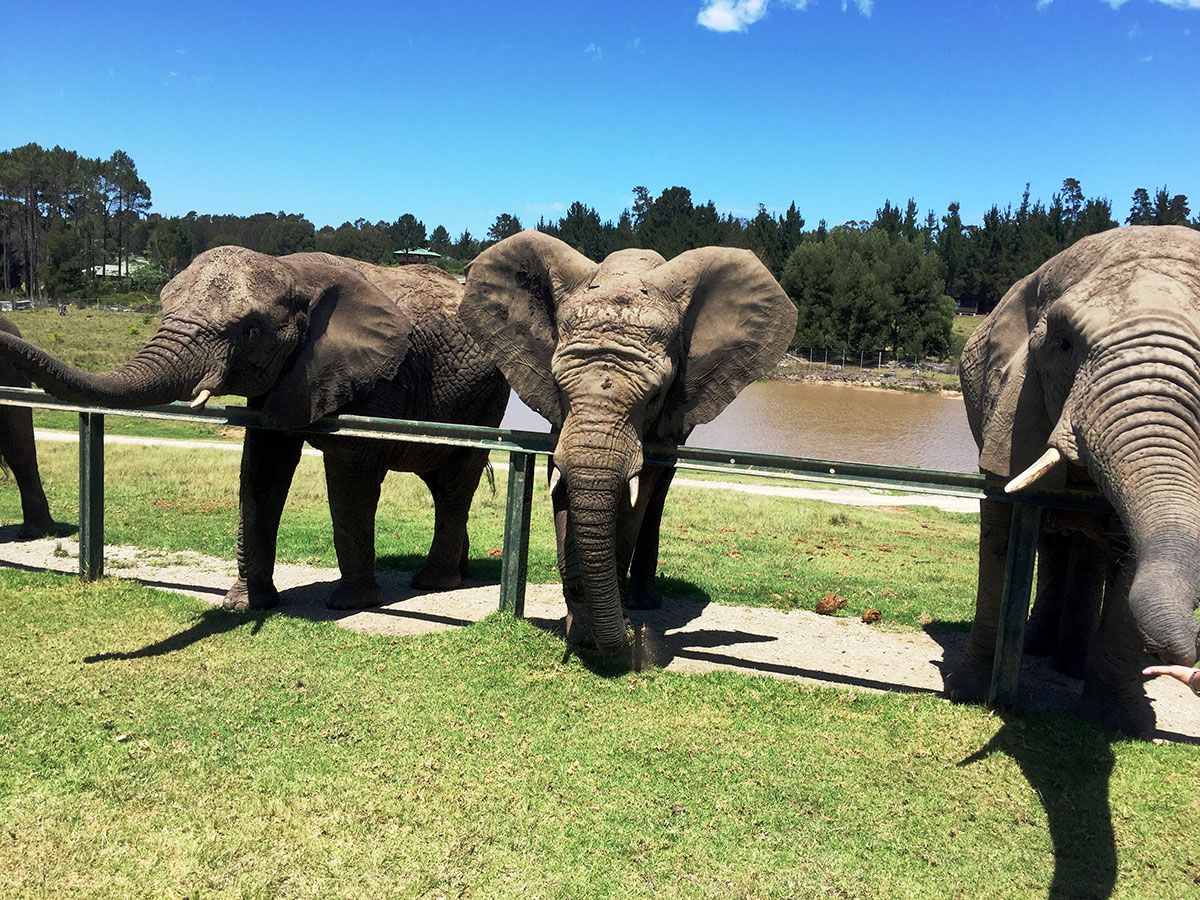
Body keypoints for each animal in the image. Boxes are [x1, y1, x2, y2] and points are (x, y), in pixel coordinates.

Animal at [0, 247, 509, 610]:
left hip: (488, 401)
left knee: (454, 483)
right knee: (440, 482)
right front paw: (245, 605)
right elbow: (262, 466)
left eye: (248, 331)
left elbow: (350, 475)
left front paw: (350, 604)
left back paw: (434, 582)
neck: (296, 273)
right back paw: (458, 573)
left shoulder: (378, 377)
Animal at [460, 230, 797, 658]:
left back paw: (642, 602)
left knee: (657, 495)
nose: (634, 645)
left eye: (654, 396)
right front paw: (578, 630)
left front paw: (600, 633)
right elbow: (562, 482)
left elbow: (636, 497)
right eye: (559, 386)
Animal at [950, 224, 1200, 734]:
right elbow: (1001, 519)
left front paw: (1117, 724)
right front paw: (968, 693)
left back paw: (1072, 665)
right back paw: (1040, 648)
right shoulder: (1009, 406)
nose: (1187, 662)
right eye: (1063, 345)